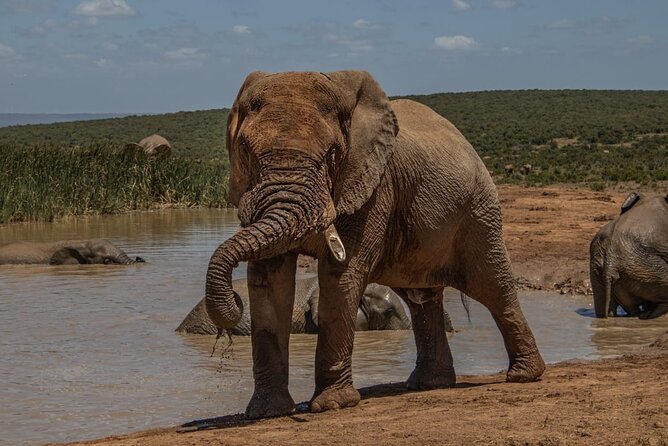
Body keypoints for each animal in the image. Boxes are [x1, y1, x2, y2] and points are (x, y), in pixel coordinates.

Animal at [204, 69, 544, 418]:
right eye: (245, 151)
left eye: (332, 154)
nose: (234, 300)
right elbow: (268, 282)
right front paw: (267, 413)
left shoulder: (372, 185)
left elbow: (341, 276)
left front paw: (331, 405)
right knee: (422, 300)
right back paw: (428, 384)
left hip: (478, 210)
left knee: (492, 286)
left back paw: (523, 375)